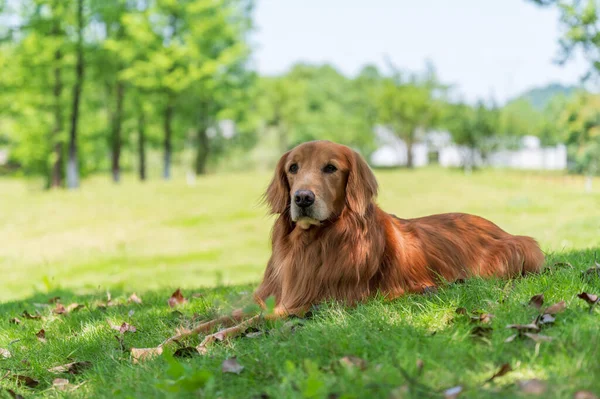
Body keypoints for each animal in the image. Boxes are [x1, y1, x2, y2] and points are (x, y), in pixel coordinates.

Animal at [191, 142, 544, 348]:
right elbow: (217, 319)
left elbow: (254, 321)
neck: (310, 242)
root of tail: (495, 226)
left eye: (330, 168)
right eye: (293, 168)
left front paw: (215, 339)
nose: (302, 198)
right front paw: (179, 339)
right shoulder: (271, 298)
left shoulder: (316, 303)